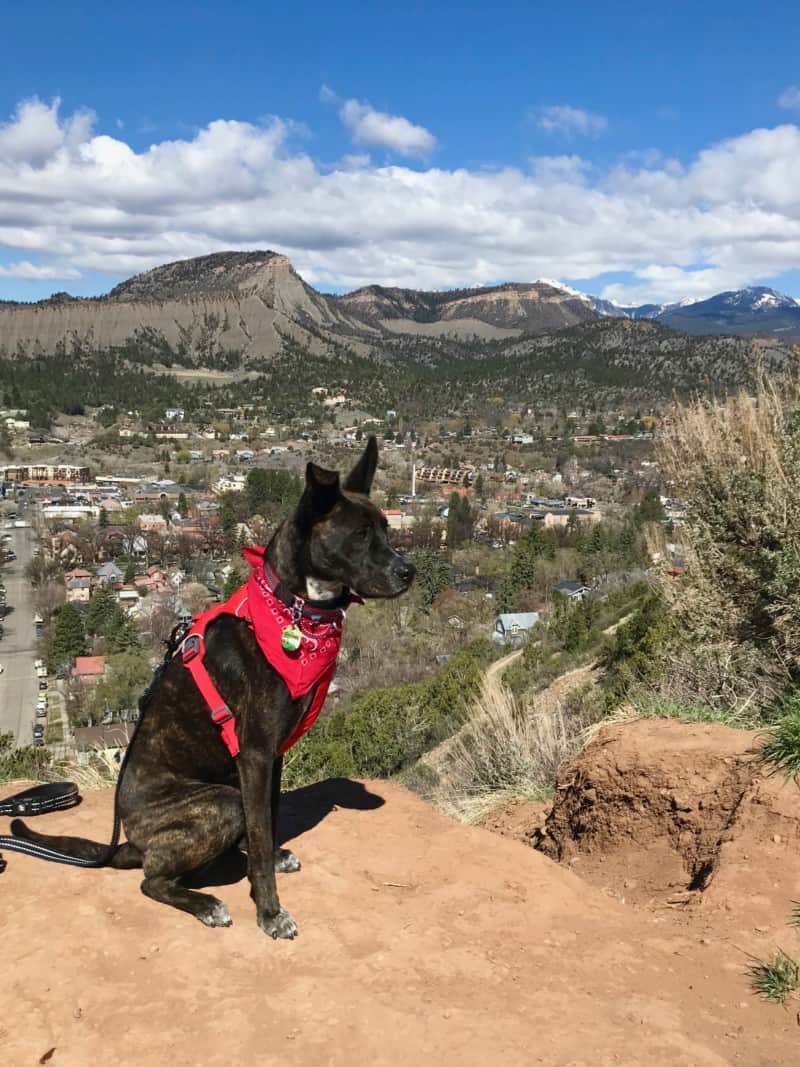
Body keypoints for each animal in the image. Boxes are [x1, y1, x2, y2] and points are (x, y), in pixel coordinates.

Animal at [12, 439, 416, 943]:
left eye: (385, 528)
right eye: (360, 535)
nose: (409, 571)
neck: (293, 611)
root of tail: (132, 841)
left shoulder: (271, 756)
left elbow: (268, 822)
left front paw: (270, 860)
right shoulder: (256, 754)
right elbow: (259, 836)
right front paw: (269, 911)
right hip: (217, 804)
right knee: (151, 881)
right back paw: (205, 903)